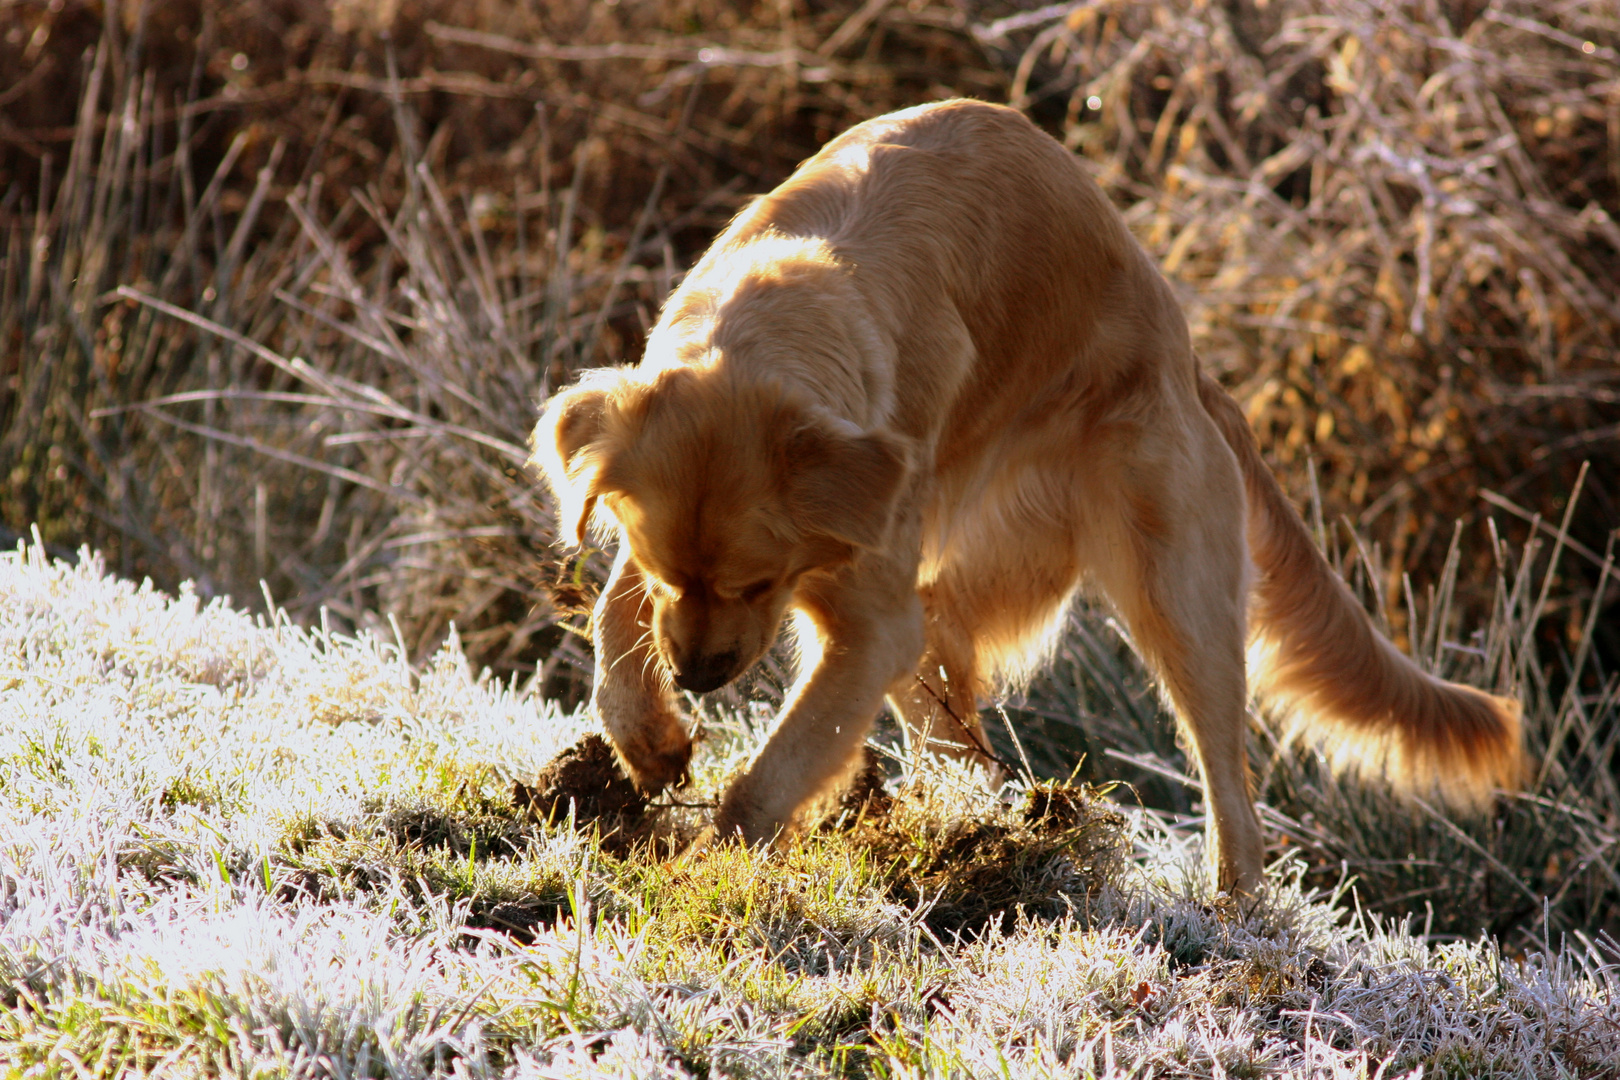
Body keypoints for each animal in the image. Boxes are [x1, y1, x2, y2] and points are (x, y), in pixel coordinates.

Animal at [534, 99, 1516, 893]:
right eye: (677, 577)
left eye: (758, 584)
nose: (698, 677)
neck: (771, 319)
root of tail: (1187, 360)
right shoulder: (695, 562)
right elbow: (618, 621)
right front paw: (648, 739)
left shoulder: (867, 611)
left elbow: (773, 772)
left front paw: (705, 866)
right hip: (956, 602)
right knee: (958, 726)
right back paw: (980, 825)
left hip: (1168, 594)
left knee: (1227, 786)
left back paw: (1229, 905)